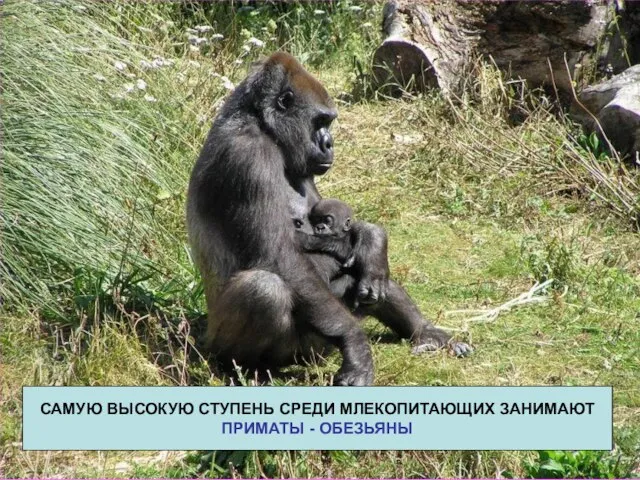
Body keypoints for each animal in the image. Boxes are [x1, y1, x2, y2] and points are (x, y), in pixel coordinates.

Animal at [185, 51, 470, 386]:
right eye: (320, 121)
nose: (329, 143)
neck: (262, 125)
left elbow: (345, 225)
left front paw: (373, 240)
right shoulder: (246, 156)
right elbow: (280, 257)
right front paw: (355, 343)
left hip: (319, 348)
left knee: (367, 278)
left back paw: (424, 330)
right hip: (239, 345)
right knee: (265, 289)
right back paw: (242, 367)